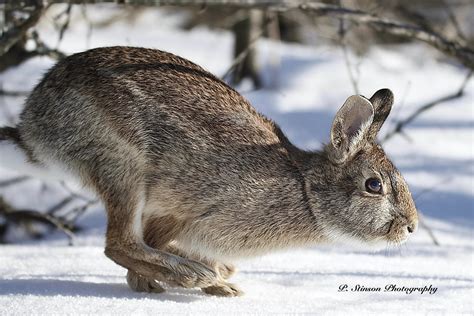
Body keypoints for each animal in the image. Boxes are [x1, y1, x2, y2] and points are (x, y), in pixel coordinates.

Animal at [0, 46, 418, 296]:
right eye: (373, 185)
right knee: (118, 243)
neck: (305, 190)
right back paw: (193, 275)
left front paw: (212, 284)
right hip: (124, 165)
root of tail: (33, 129)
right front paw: (201, 283)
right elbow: (146, 245)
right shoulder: (183, 211)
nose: (411, 227)